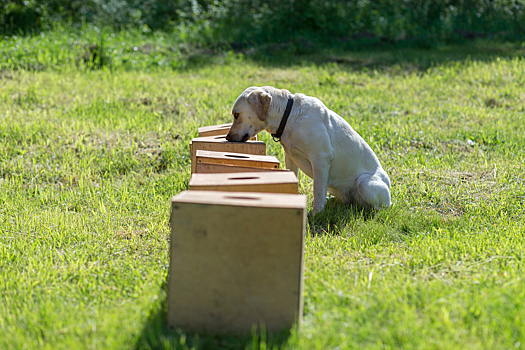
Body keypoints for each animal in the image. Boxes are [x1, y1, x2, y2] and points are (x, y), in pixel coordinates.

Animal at [225, 87, 388, 213]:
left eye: (236, 115)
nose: (227, 137)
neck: (288, 117)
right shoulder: (290, 157)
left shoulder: (320, 159)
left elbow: (318, 190)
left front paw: (316, 213)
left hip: (365, 183)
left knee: (378, 207)